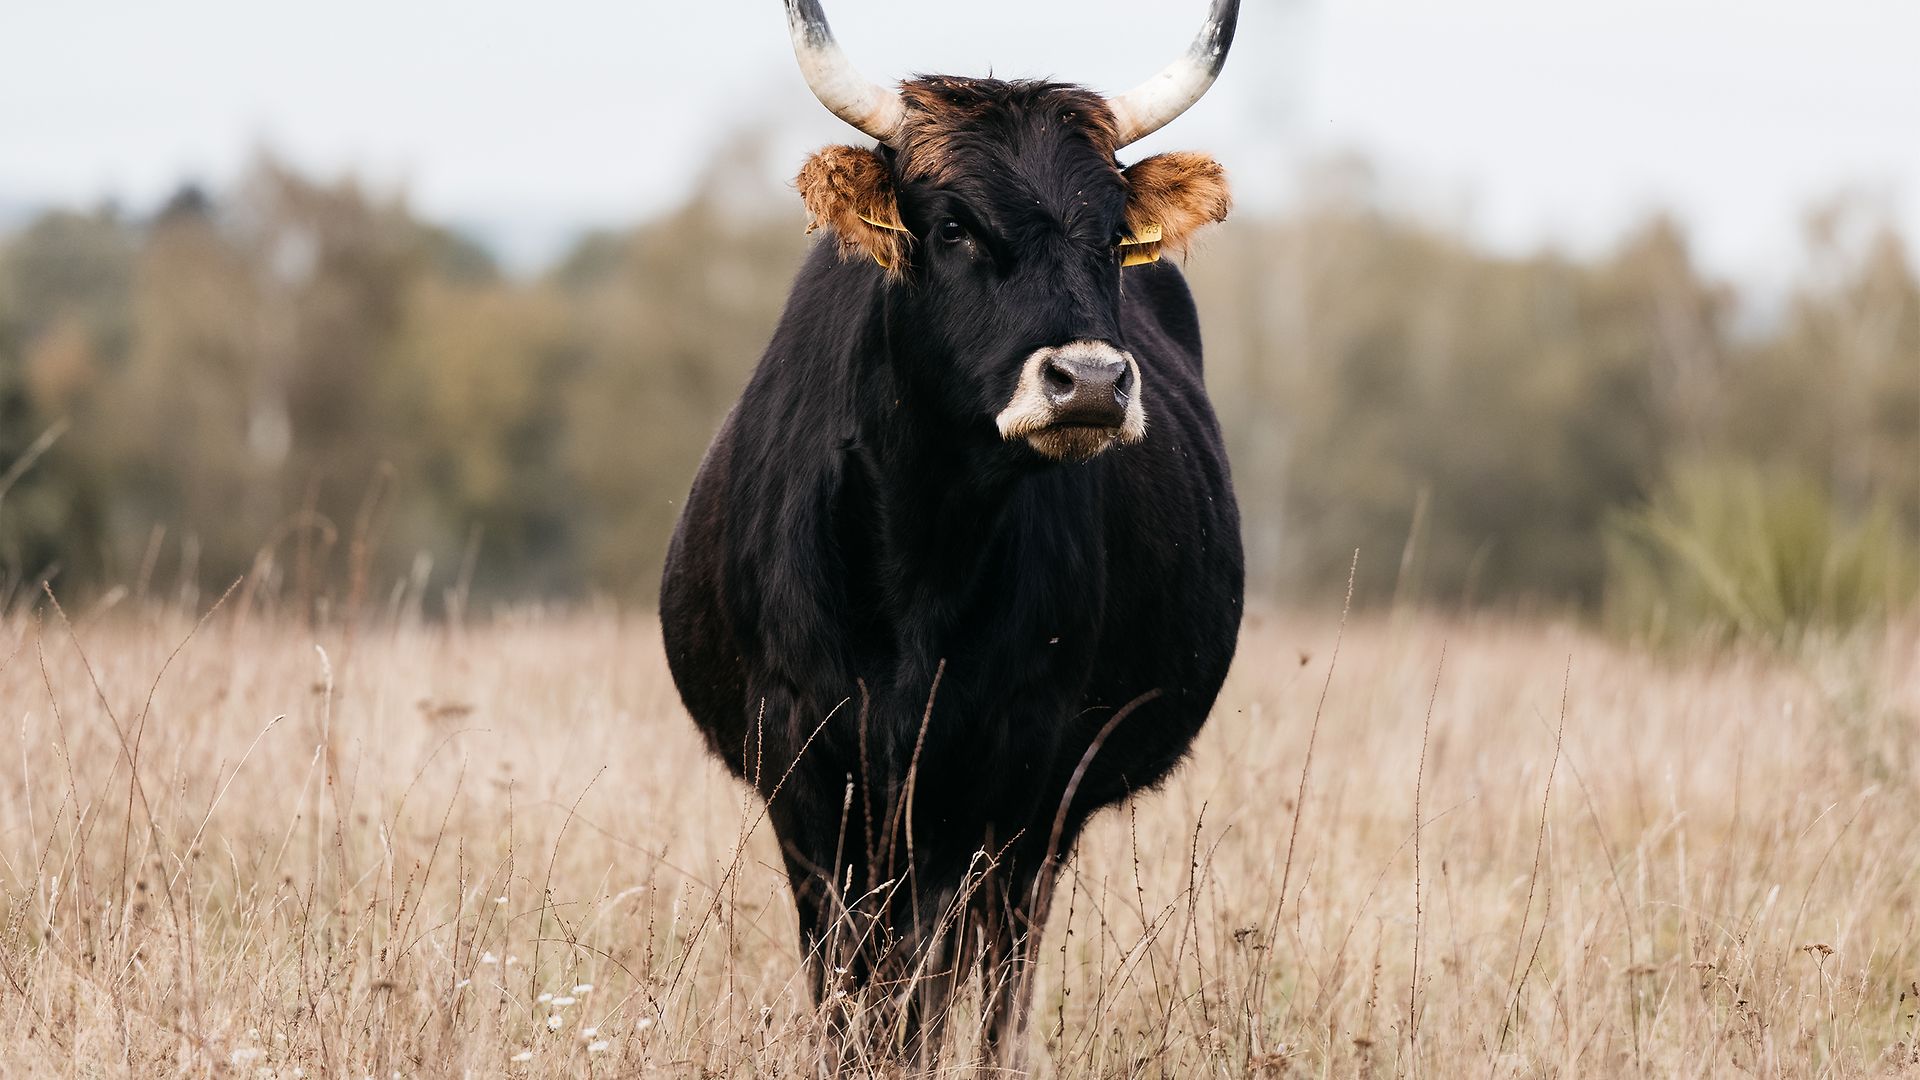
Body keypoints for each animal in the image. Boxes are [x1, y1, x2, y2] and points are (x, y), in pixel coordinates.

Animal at [659, 0, 1244, 1067]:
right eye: (953, 226)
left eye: (1111, 236)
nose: (1091, 382)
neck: (919, 557)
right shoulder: (809, 781)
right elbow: (848, 985)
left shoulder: (1010, 780)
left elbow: (940, 986)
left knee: (996, 970)